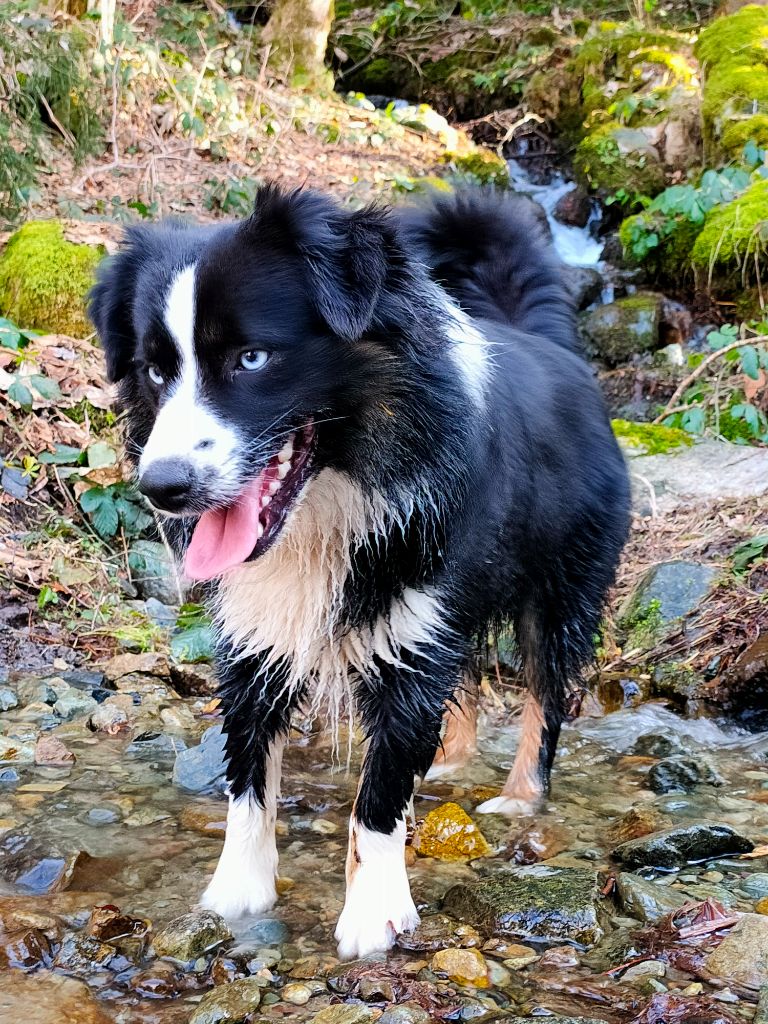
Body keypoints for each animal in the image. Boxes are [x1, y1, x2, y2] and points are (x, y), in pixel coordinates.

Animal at [90, 184, 630, 958]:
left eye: (252, 358)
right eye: (156, 370)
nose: (163, 487)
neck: (332, 500)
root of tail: (559, 350)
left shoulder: (411, 625)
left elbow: (377, 797)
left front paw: (375, 914)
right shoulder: (254, 634)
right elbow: (248, 775)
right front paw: (236, 894)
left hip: (560, 584)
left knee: (546, 691)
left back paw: (521, 796)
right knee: (465, 678)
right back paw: (449, 761)